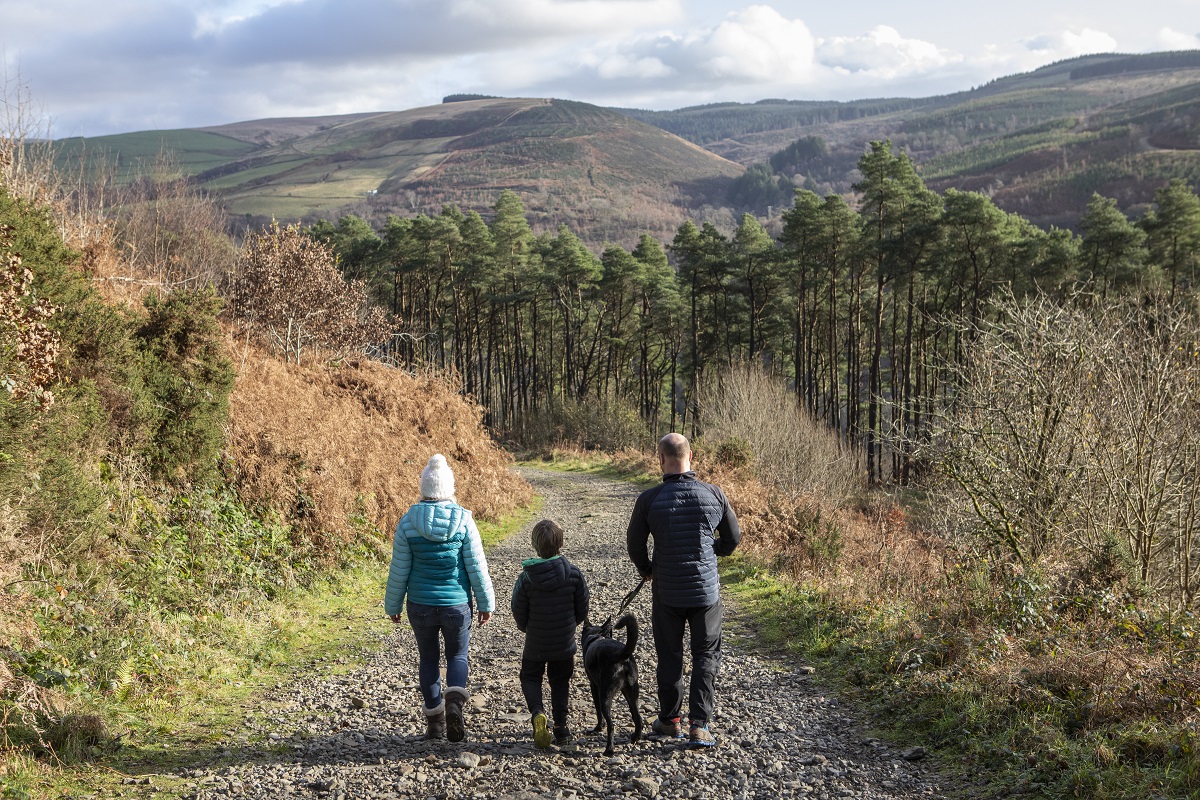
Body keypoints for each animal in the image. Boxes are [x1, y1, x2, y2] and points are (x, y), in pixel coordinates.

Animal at [578, 614, 643, 758]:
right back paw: (635, 737)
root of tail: (622, 655)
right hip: (632, 692)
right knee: (637, 717)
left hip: (605, 696)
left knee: (611, 725)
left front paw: (598, 727)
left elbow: (597, 711)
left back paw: (609, 750)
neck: (597, 635)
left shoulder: (594, 687)